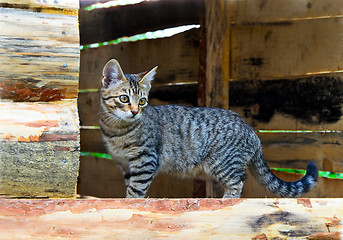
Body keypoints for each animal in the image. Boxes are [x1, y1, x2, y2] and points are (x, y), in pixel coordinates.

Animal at [98, 59, 318, 198]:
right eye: (124, 98)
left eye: (142, 101)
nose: (135, 111)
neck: (116, 131)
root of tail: (251, 130)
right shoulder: (126, 165)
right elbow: (131, 186)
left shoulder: (146, 160)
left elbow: (136, 190)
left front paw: (130, 203)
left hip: (223, 162)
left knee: (238, 182)